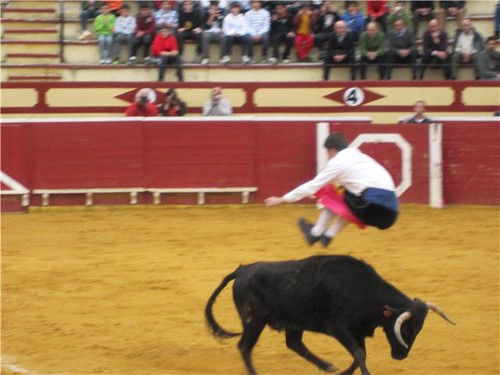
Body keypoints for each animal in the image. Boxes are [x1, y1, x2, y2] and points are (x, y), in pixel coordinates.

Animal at [203, 256, 454, 375]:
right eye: (407, 329)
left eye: (419, 329)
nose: (400, 356)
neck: (360, 288)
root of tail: (243, 270)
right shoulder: (340, 328)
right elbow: (359, 353)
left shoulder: (357, 330)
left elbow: (359, 353)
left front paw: (344, 372)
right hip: (255, 320)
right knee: (245, 346)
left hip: (293, 321)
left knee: (294, 343)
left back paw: (327, 366)